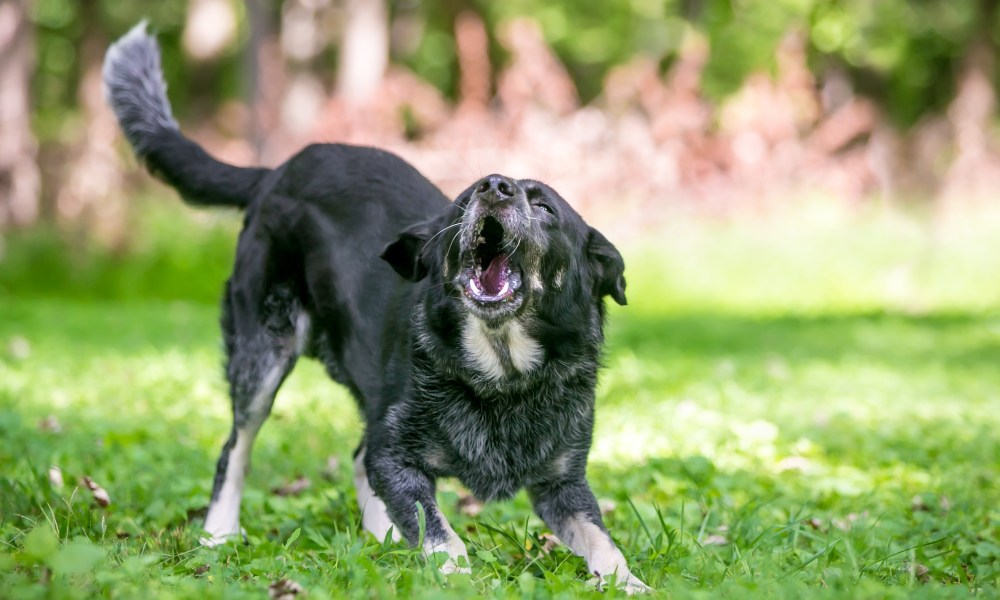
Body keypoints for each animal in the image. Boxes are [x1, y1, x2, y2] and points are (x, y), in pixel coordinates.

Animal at [103, 22, 648, 592]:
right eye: (463, 200)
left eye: (544, 206)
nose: (493, 186)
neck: (503, 375)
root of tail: (275, 172)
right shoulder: (397, 454)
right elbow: (439, 528)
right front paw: (453, 573)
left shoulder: (564, 483)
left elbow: (603, 541)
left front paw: (631, 583)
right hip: (262, 355)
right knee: (237, 447)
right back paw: (219, 534)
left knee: (356, 457)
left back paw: (381, 539)